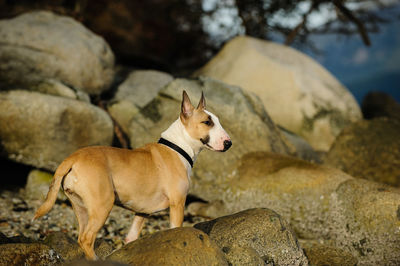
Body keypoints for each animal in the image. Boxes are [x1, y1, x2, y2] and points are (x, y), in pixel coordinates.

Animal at [33, 91, 231, 260]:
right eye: (207, 122)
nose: (229, 143)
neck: (178, 147)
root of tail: (73, 158)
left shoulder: (142, 212)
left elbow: (131, 237)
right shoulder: (178, 203)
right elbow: (176, 228)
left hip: (80, 206)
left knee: (81, 236)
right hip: (103, 204)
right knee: (87, 239)